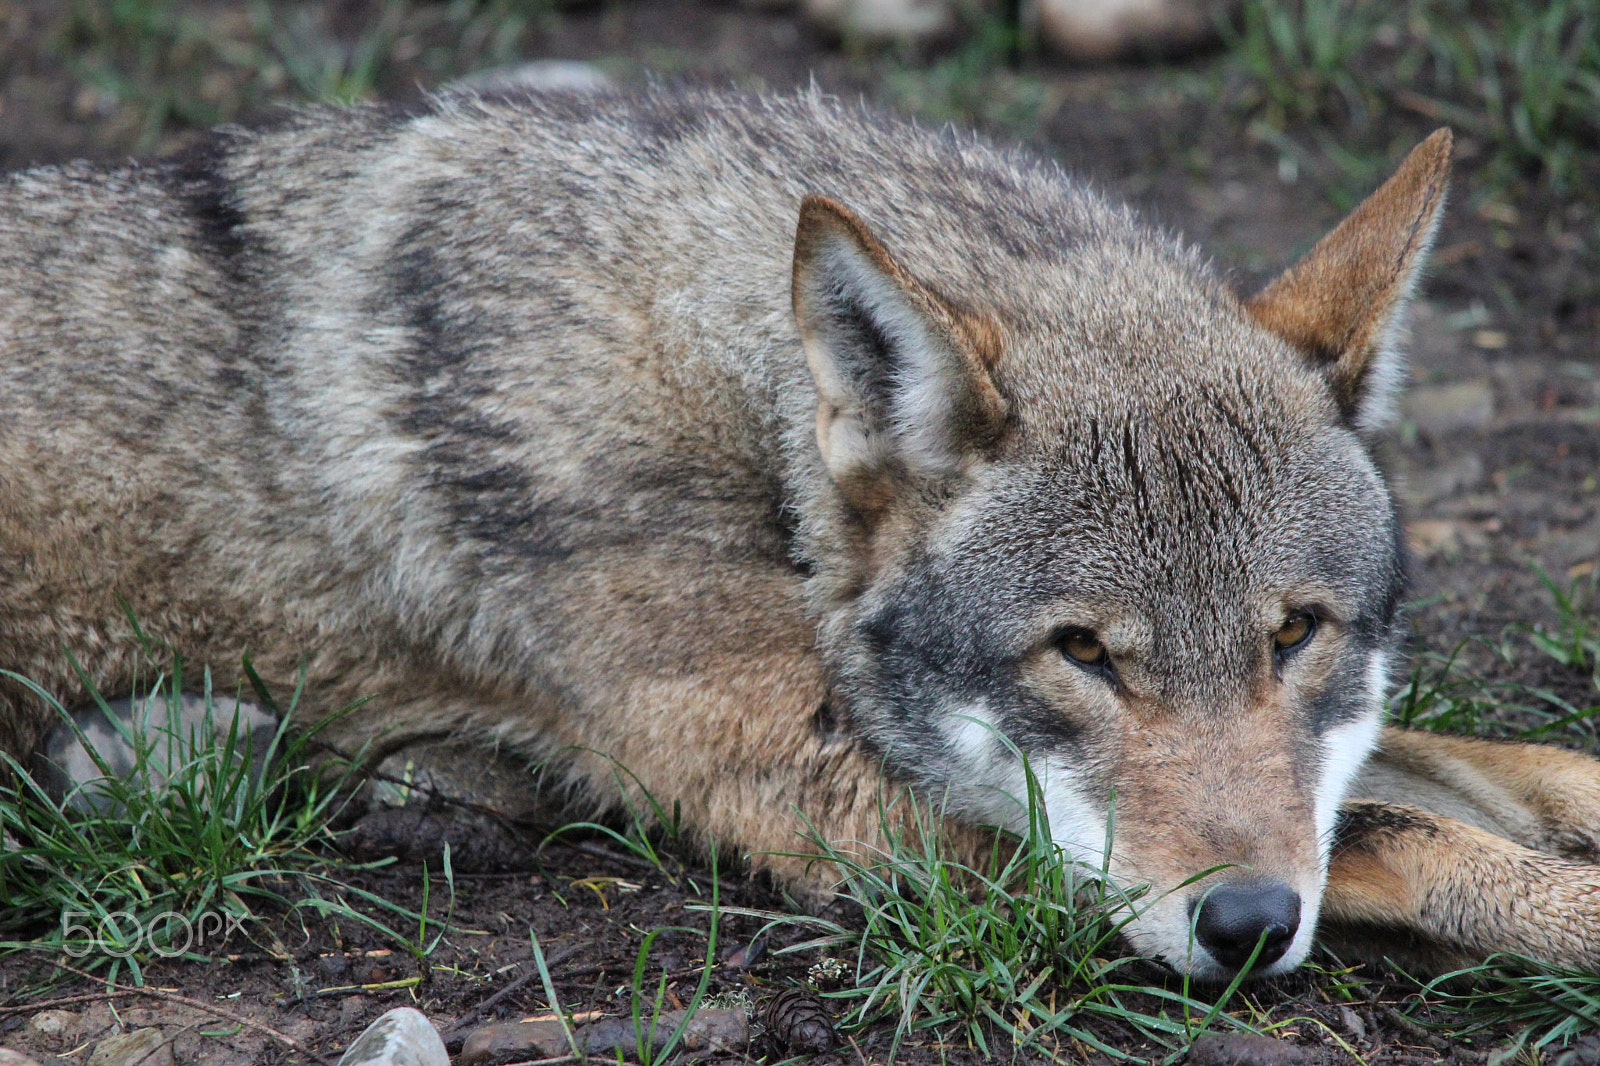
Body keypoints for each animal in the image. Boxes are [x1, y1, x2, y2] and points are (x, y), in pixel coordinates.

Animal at [2, 88, 1598, 980]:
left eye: (1295, 633)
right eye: (1082, 654)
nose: (1252, 923)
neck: (732, 390)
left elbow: (1491, 773)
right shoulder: (825, 782)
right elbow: (1405, 826)